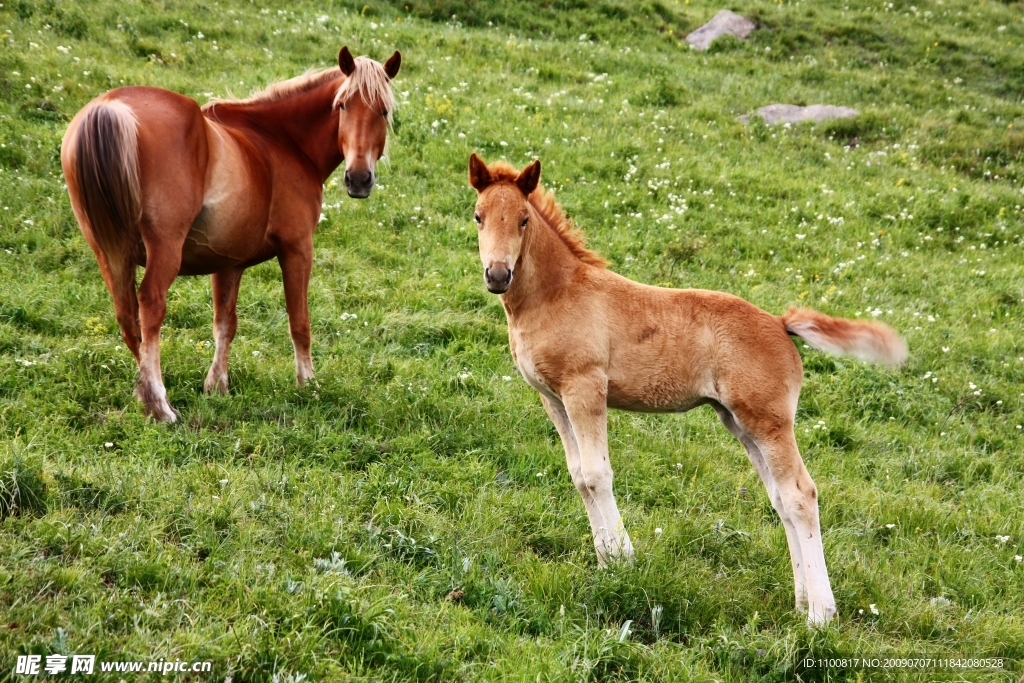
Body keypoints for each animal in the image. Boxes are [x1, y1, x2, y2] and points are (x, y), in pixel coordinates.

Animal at [61, 46, 399, 421]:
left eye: (383, 111)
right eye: (342, 105)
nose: (359, 179)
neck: (279, 142)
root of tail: (110, 107)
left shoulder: (228, 263)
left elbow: (225, 323)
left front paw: (217, 386)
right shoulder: (297, 249)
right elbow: (299, 322)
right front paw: (308, 384)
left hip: (110, 251)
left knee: (126, 314)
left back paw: (145, 394)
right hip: (163, 249)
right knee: (150, 304)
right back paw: (159, 404)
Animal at [464, 153, 905, 626]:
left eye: (524, 219)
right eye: (478, 216)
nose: (497, 274)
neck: (557, 294)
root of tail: (780, 324)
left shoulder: (585, 388)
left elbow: (599, 474)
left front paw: (623, 561)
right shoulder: (553, 397)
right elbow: (579, 475)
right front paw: (605, 563)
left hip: (769, 422)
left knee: (800, 495)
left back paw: (820, 614)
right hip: (739, 422)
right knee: (780, 499)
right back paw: (802, 601)